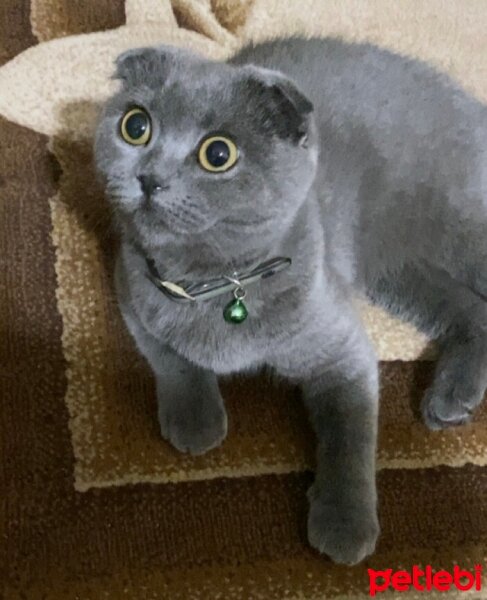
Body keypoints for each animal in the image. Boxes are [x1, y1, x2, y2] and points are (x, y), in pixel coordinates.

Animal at [94, 38, 487, 568]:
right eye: (135, 127)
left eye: (218, 154)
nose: (149, 177)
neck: (214, 281)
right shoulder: (130, 281)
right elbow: (169, 354)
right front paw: (195, 418)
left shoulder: (340, 346)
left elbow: (349, 431)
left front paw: (344, 523)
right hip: (399, 270)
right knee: (474, 311)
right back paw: (450, 400)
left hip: (454, 226)